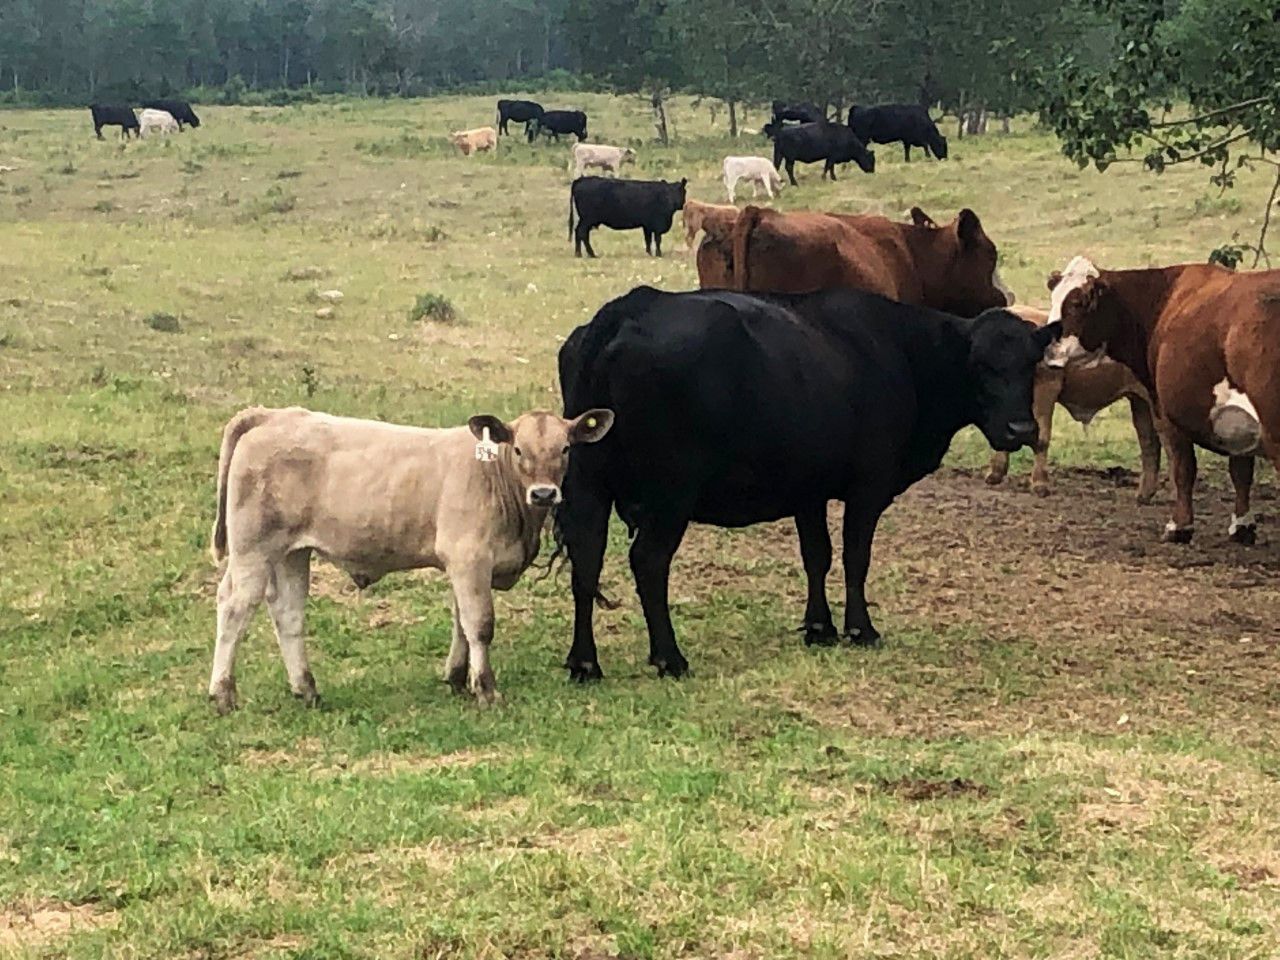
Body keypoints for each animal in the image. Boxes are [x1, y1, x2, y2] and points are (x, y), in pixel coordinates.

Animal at [207, 405, 614, 712]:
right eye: (518, 450)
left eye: (565, 449)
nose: (544, 494)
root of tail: (273, 415)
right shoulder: (470, 559)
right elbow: (480, 625)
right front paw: (486, 689)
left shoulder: (462, 566)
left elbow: (460, 623)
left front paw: (457, 679)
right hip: (252, 550)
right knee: (234, 606)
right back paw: (223, 694)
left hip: (291, 553)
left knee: (288, 613)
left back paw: (306, 690)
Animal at [554, 286, 1061, 681]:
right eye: (980, 365)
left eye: (1031, 365)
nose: (1020, 429)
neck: (902, 352)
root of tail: (629, 308)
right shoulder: (868, 486)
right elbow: (856, 557)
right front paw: (860, 629)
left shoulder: (807, 490)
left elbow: (817, 555)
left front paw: (819, 628)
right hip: (671, 492)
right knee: (648, 562)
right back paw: (669, 657)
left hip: (588, 485)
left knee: (586, 562)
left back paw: (585, 663)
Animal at [985, 304, 1161, 499]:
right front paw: (996, 473)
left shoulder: (1047, 388)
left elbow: (1041, 438)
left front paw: (1040, 483)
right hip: (1140, 402)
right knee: (1149, 442)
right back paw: (1145, 494)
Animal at [1044, 255, 1280, 544]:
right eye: (1054, 298)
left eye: (1077, 303)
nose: (1047, 349)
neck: (1161, 302)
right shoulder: (1236, 420)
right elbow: (1241, 472)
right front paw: (1242, 525)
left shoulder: (1167, 415)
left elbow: (1183, 469)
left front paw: (1179, 526)